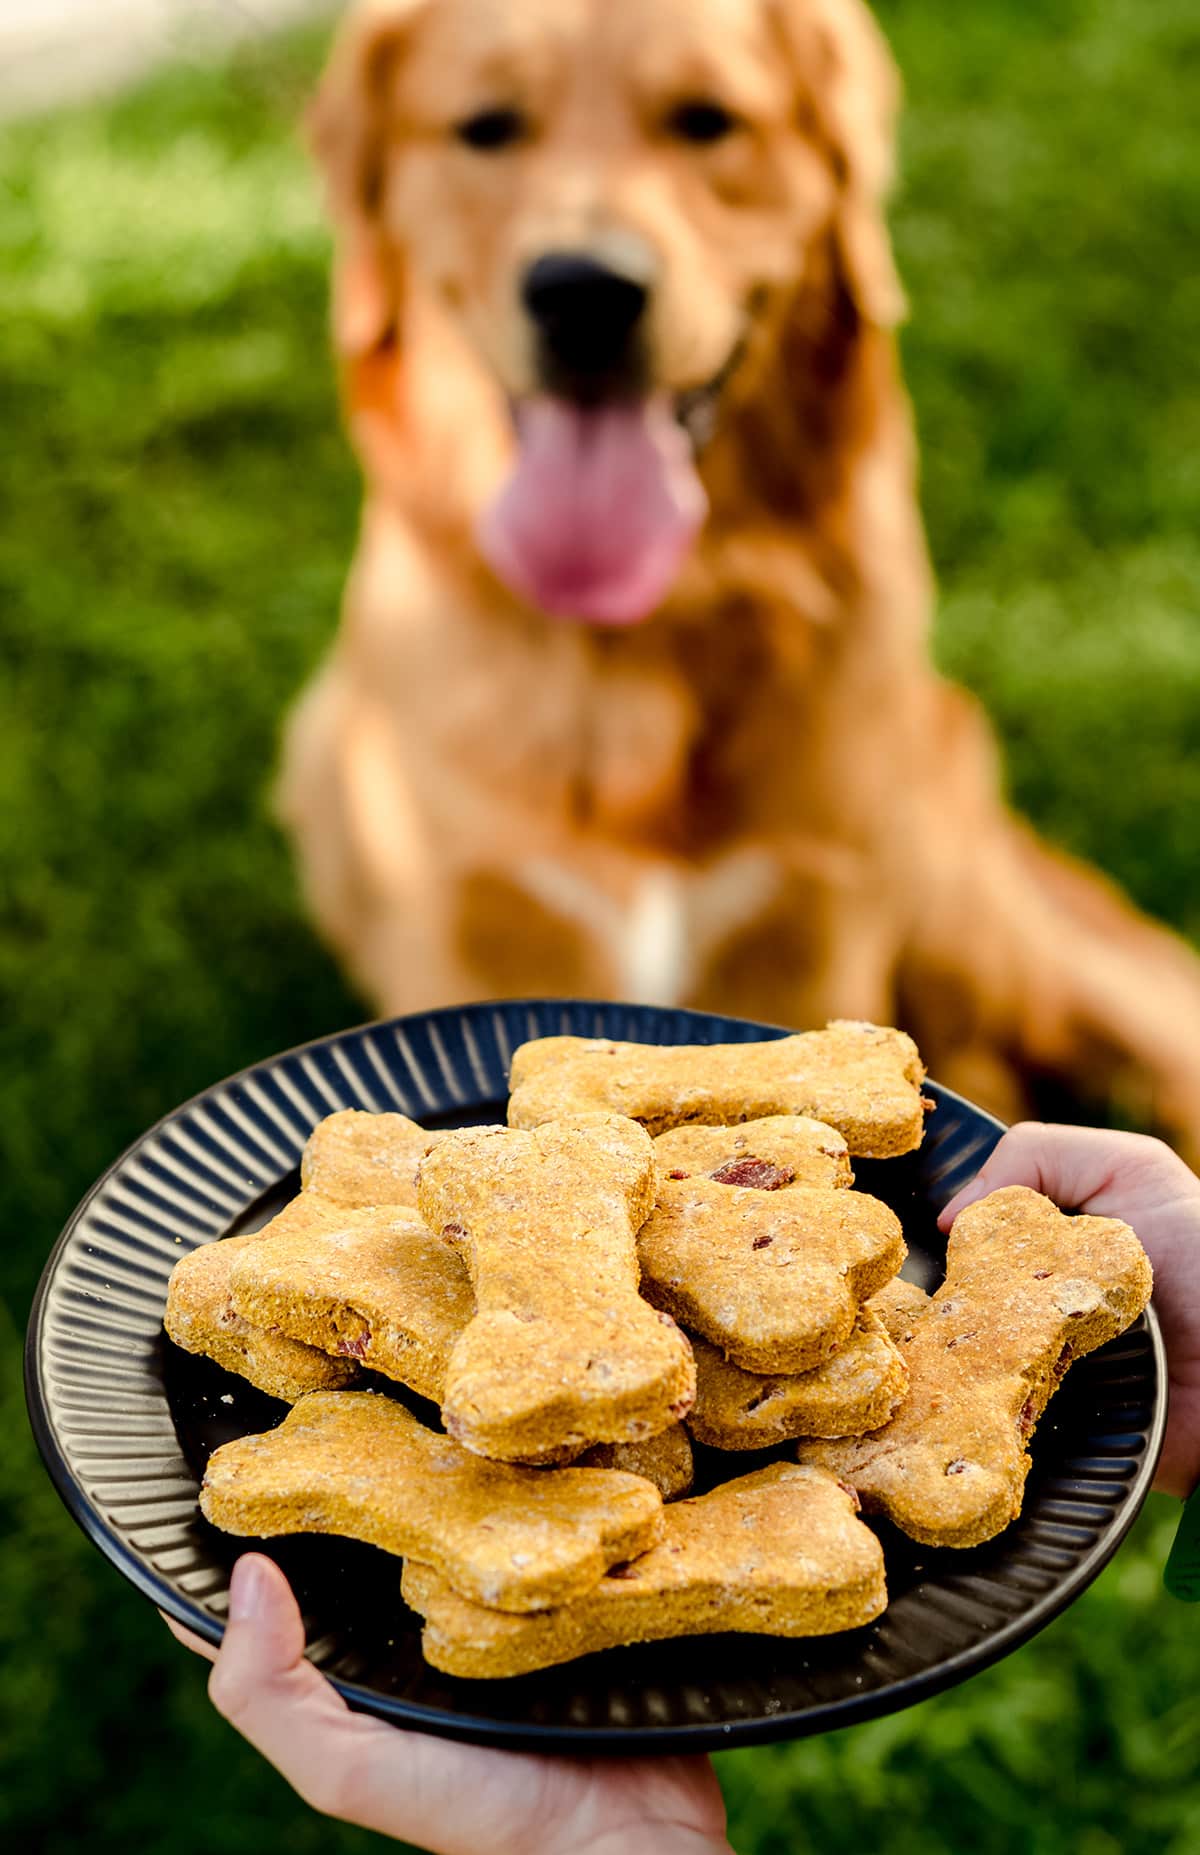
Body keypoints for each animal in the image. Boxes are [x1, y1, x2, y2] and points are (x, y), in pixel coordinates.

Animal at [276, 0, 1200, 1150]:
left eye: (707, 121)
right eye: (487, 127)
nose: (586, 293)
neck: (640, 644)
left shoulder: (814, 926)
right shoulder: (465, 932)